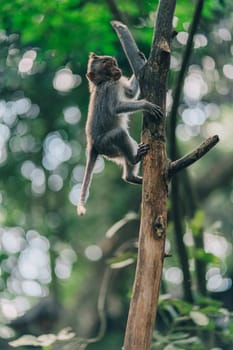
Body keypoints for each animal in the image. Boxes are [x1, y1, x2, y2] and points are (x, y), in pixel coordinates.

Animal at [76, 52, 162, 216]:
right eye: (107, 64)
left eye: (113, 62)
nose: (117, 69)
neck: (104, 82)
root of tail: (92, 145)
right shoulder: (109, 89)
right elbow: (116, 108)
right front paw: (146, 105)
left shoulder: (118, 82)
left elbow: (131, 93)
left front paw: (143, 59)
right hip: (106, 144)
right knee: (120, 134)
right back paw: (134, 159)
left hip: (110, 153)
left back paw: (131, 176)